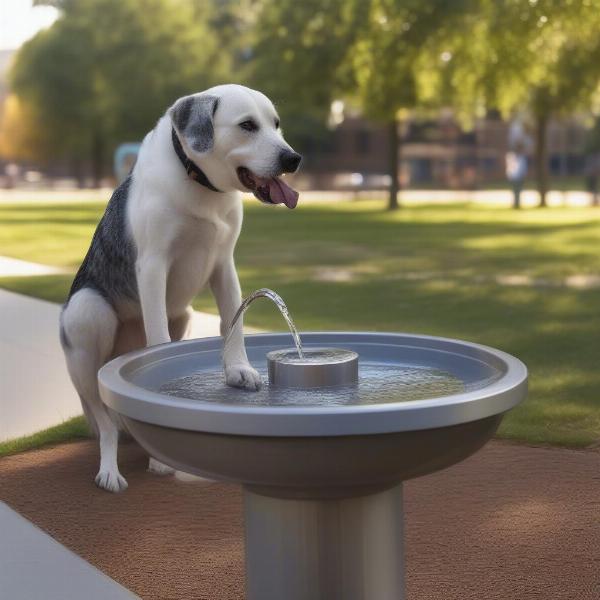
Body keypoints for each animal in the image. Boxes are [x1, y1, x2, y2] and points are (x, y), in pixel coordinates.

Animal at [60, 83, 302, 492]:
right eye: (247, 125)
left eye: (276, 124)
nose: (293, 158)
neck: (199, 182)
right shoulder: (154, 266)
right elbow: (158, 338)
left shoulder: (225, 264)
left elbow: (233, 322)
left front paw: (238, 370)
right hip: (86, 313)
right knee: (104, 418)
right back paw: (110, 468)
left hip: (184, 314)